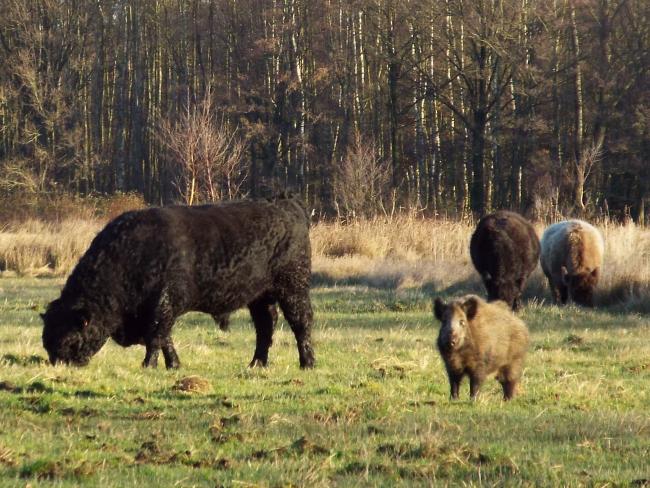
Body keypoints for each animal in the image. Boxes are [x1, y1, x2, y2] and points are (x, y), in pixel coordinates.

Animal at [40, 194, 314, 370]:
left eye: (69, 339)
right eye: (46, 340)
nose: (59, 364)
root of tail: (288, 204)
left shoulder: (162, 305)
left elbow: (155, 336)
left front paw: (148, 365)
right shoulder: (163, 310)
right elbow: (165, 338)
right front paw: (173, 365)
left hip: (293, 288)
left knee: (301, 323)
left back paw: (307, 363)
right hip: (260, 297)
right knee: (265, 327)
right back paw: (257, 363)